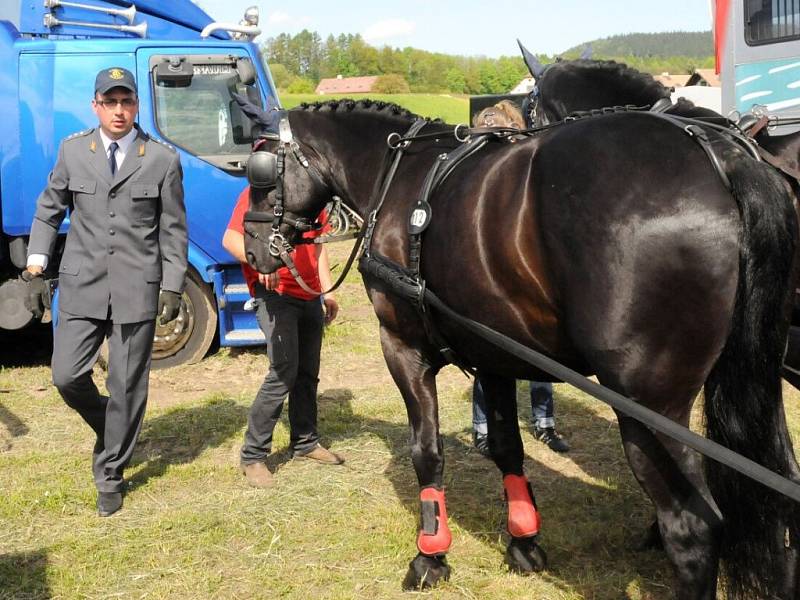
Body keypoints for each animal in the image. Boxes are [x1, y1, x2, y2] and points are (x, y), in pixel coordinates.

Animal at [241, 99, 800, 600]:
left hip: (649, 408)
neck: (397, 175)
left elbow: (427, 451)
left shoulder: (402, 347)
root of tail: (720, 153)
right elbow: (508, 446)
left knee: (690, 530)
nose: (249, 250)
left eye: (258, 170)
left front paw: (430, 555)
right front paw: (524, 541)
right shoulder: (496, 354)